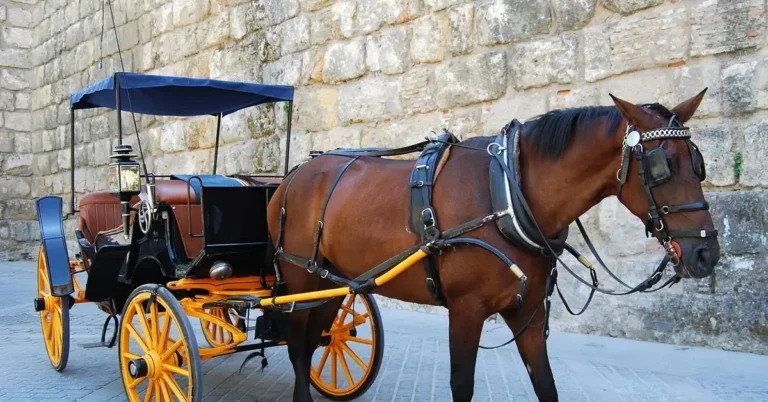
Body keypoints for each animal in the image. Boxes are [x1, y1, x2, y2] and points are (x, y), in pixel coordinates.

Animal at [265, 89, 720, 402]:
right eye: (663, 167)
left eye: (698, 164)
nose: (706, 253)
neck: (507, 196)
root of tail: (293, 176)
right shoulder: (466, 311)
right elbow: (461, 385)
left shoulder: (529, 313)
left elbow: (546, 384)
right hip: (300, 279)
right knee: (298, 347)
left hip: (333, 282)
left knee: (317, 340)